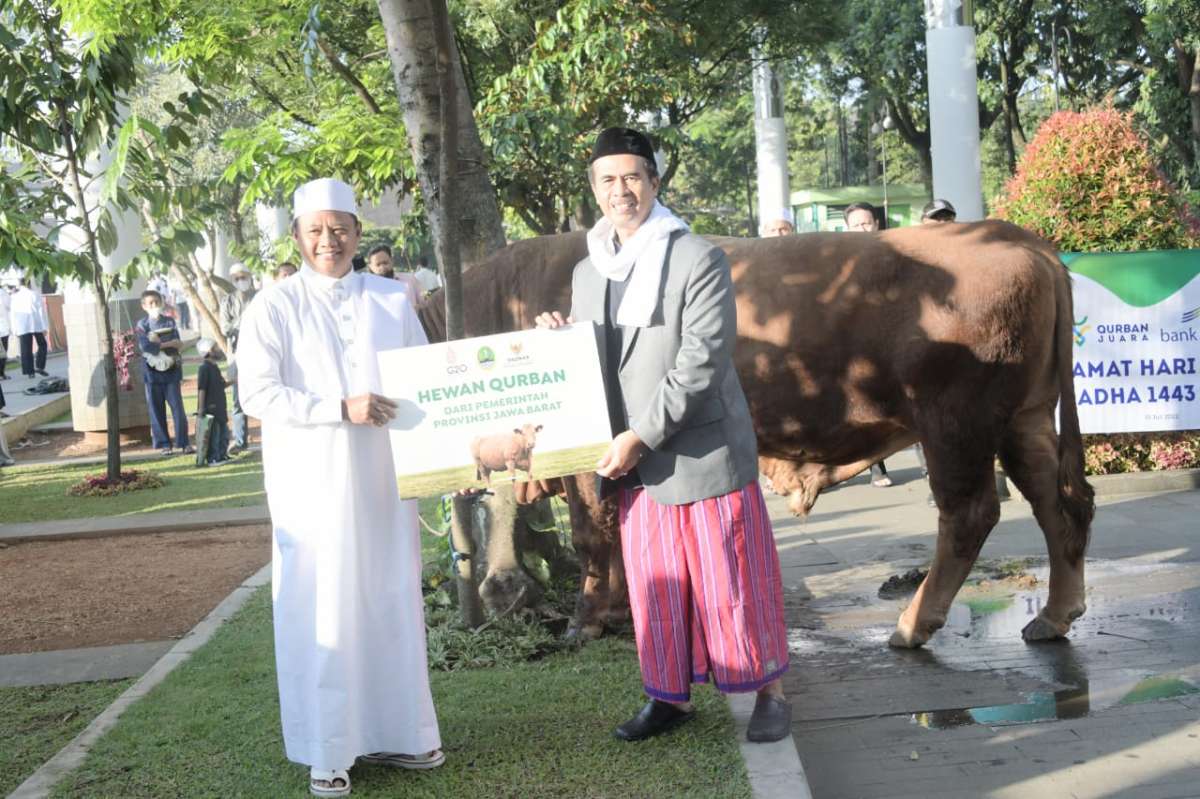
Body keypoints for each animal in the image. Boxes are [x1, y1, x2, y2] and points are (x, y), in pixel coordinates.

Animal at [422, 220, 1099, 643]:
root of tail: (1016, 236)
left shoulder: (589, 458)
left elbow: (594, 533)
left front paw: (584, 620)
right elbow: (617, 534)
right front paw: (618, 611)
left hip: (956, 423)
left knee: (970, 514)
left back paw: (914, 624)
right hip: (1024, 418)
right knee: (1059, 502)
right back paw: (1055, 615)